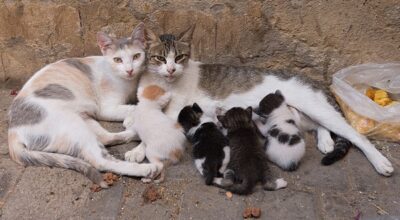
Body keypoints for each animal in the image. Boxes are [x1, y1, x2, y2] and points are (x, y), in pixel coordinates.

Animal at [7, 22, 158, 187]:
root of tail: (12, 134)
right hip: (72, 124)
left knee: (105, 138)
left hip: (85, 120)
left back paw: (136, 132)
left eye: (136, 56)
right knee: (100, 160)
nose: (129, 70)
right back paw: (145, 168)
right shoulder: (106, 109)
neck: (129, 82)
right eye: (118, 60)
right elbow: (135, 107)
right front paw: (132, 117)